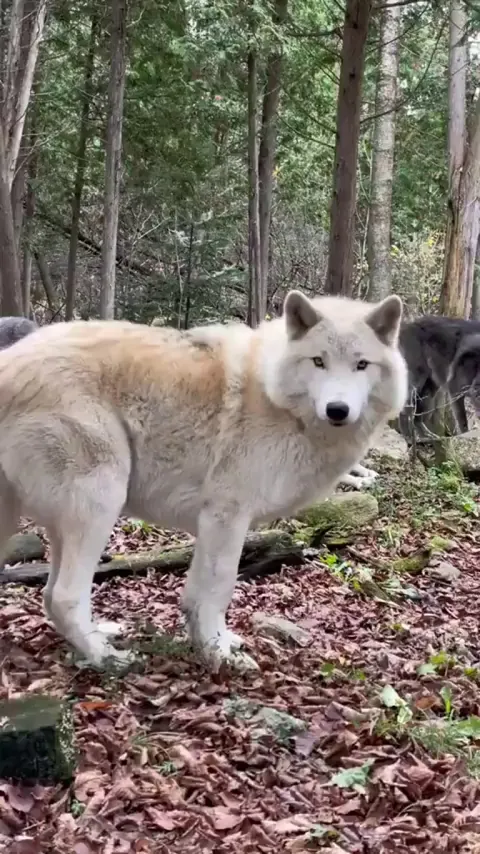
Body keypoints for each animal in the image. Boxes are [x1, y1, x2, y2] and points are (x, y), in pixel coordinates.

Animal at [0, 291, 407, 671]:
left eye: (361, 365)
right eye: (319, 361)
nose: (337, 410)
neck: (276, 399)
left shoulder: (212, 523)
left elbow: (196, 595)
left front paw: (211, 643)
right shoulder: (226, 515)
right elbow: (219, 588)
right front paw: (219, 654)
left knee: (49, 595)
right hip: (99, 505)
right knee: (64, 595)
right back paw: (107, 658)